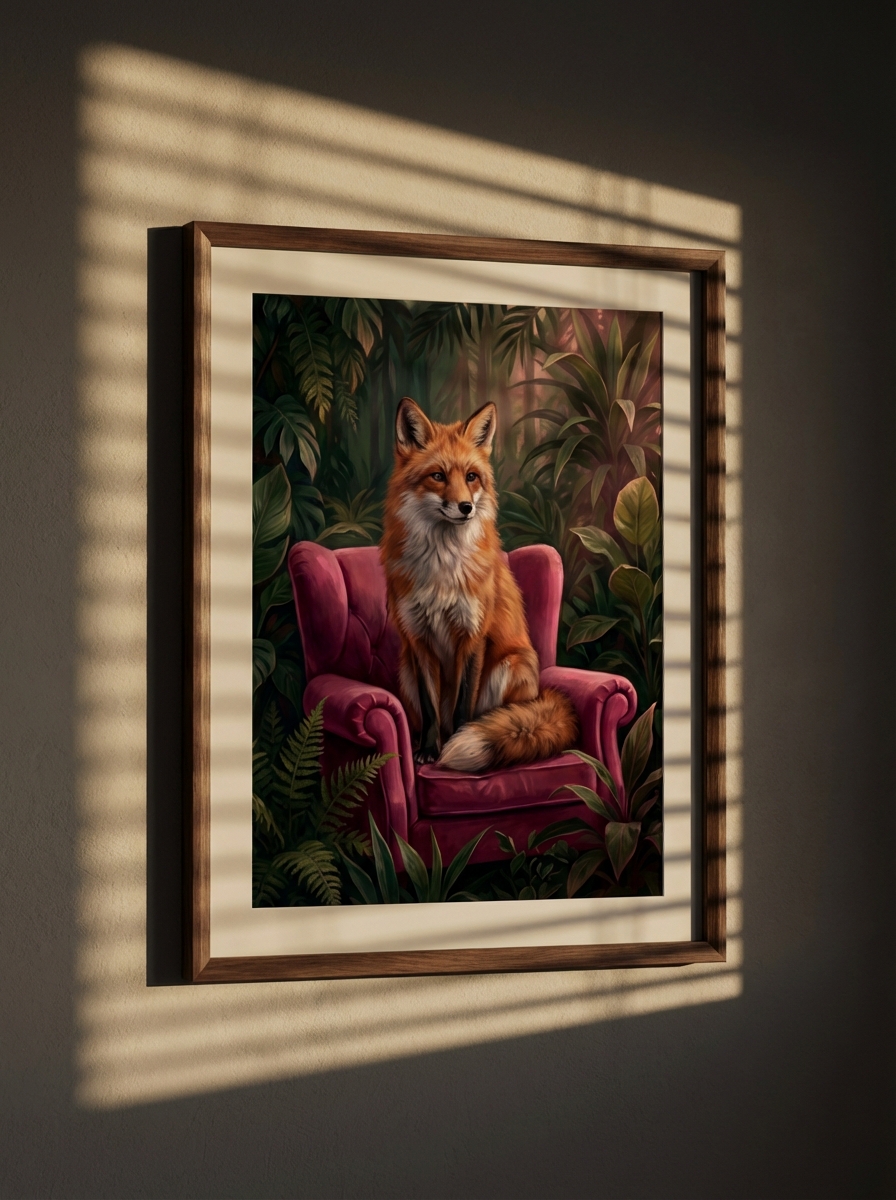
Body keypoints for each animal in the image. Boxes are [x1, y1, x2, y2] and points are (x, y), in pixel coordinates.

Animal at [380, 395, 578, 773]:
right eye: (438, 476)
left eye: (471, 476)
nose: (466, 507)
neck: (443, 568)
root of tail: (540, 693)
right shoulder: (418, 639)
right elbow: (430, 707)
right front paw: (429, 750)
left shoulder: (473, 635)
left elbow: (464, 703)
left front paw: (455, 741)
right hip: (405, 668)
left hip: (509, 665)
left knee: (493, 714)